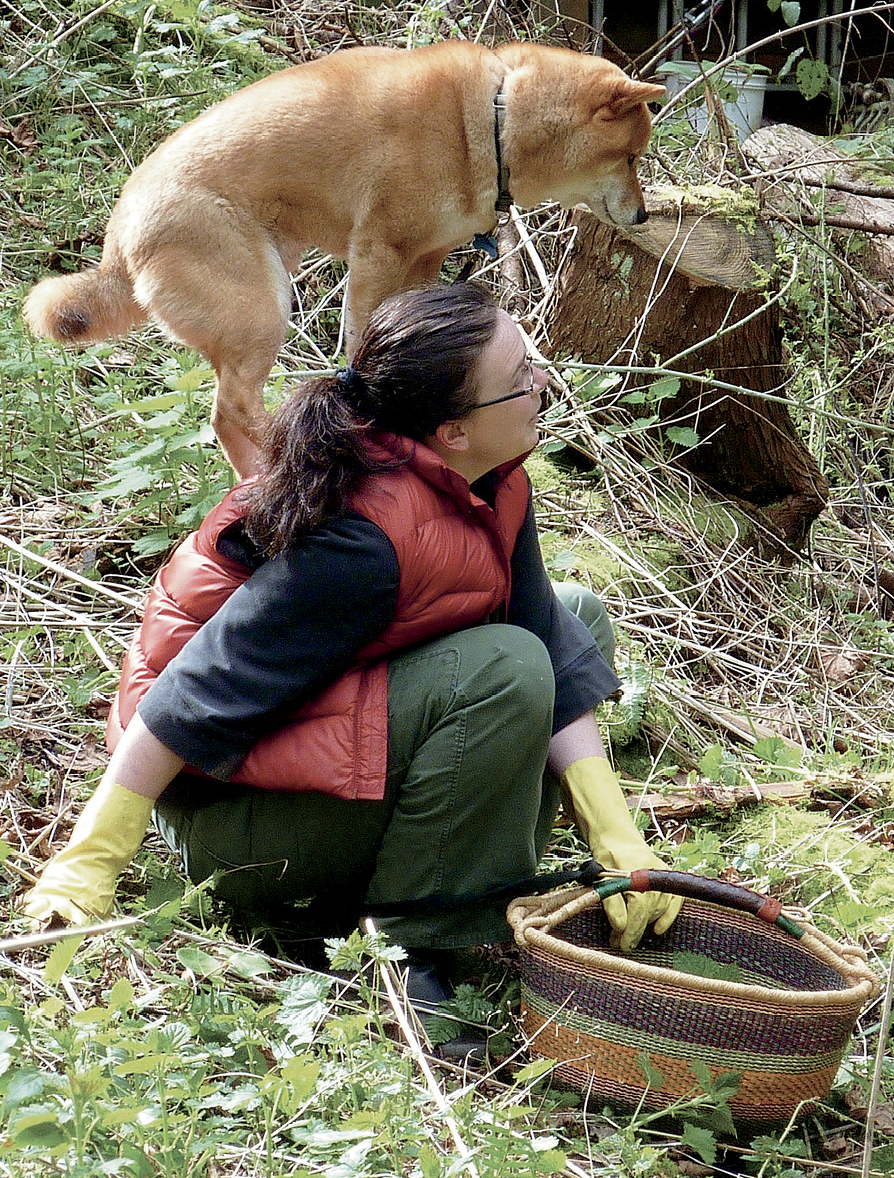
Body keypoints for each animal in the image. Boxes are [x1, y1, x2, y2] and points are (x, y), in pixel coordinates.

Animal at [22, 39, 664, 475]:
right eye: (632, 156)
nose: (642, 217)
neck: (492, 119)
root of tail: (118, 238)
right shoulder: (376, 252)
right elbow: (358, 345)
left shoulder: (423, 261)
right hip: (265, 307)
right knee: (233, 409)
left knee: (224, 415)